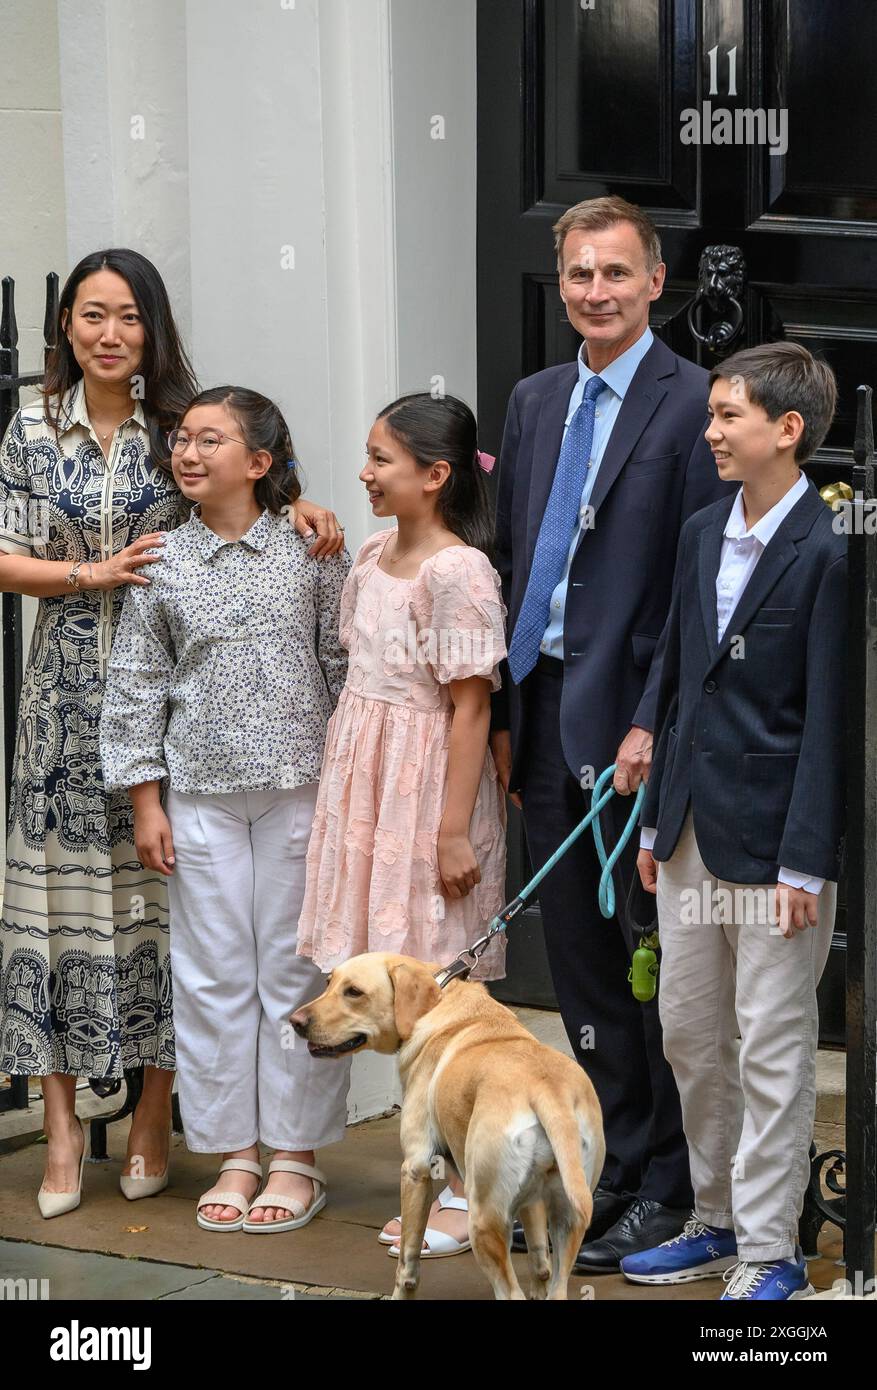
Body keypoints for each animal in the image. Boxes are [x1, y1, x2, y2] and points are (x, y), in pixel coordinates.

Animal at [290, 950, 603, 1295]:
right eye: (328, 982)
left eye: (354, 992)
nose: (295, 1022)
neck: (438, 1000)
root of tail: (547, 1091)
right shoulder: (531, 1203)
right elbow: (540, 1265)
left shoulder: (416, 1170)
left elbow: (407, 1263)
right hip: (567, 1218)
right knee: (555, 1279)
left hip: (482, 1221)